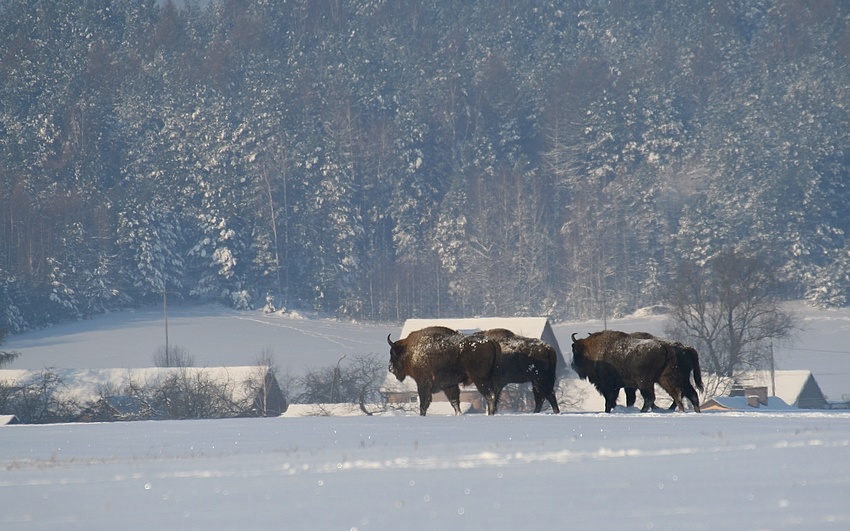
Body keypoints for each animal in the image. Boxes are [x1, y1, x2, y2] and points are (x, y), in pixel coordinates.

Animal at [568, 330, 704, 414]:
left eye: (575, 351)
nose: (572, 365)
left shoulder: (610, 386)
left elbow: (610, 401)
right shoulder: (626, 387)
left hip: (646, 383)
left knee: (652, 398)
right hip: (668, 379)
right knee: (686, 394)